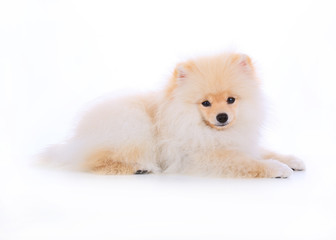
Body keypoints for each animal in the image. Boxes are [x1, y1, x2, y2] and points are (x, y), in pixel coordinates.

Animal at [42, 52, 304, 177]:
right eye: (206, 103)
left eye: (231, 100)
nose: (222, 117)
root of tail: (75, 141)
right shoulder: (201, 157)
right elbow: (248, 162)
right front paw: (277, 168)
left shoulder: (237, 141)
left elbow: (262, 151)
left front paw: (290, 159)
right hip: (132, 127)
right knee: (95, 162)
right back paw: (137, 168)